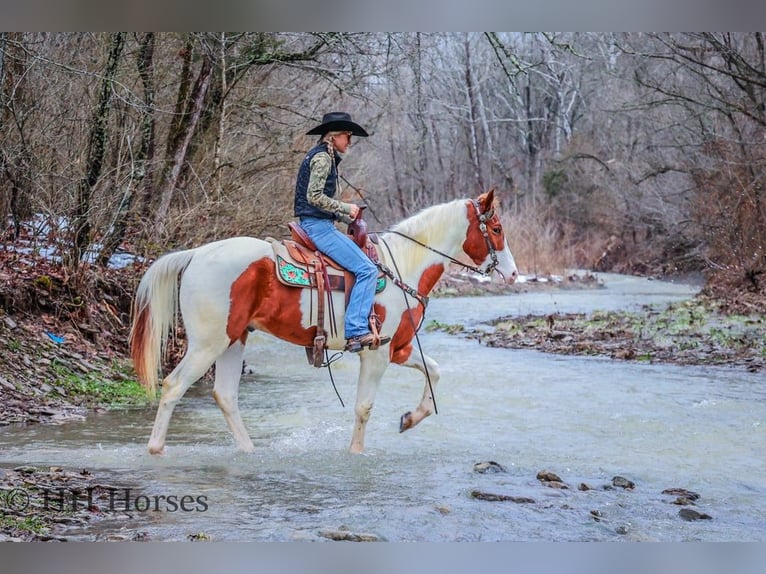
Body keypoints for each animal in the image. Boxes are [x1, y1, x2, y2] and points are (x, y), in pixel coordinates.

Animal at [129, 189, 518, 454]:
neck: (403, 266)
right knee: (174, 385)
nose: (513, 274)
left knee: (224, 395)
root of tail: (196, 254)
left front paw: (410, 419)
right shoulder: (376, 354)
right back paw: (156, 449)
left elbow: (434, 371)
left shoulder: (400, 348)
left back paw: (249, 451)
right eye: (497, 228)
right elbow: (364, 407)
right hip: (208, 344)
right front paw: (356, 454)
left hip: (234, 340)